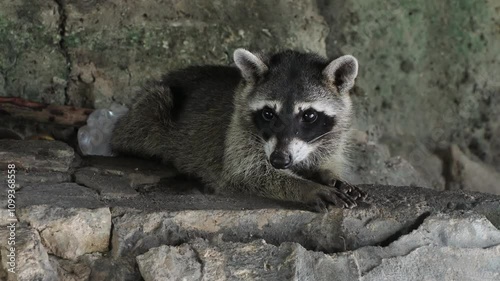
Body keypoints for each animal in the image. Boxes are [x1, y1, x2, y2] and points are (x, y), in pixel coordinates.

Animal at [111, 48, 366, 210]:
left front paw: (330, 175)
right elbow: (246, 174)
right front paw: (305, 187)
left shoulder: (331, 137)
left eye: (309, 115)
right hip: (152, 106)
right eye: (268, 113)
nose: (279, 160)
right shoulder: (237, 133)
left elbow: (325, 160)